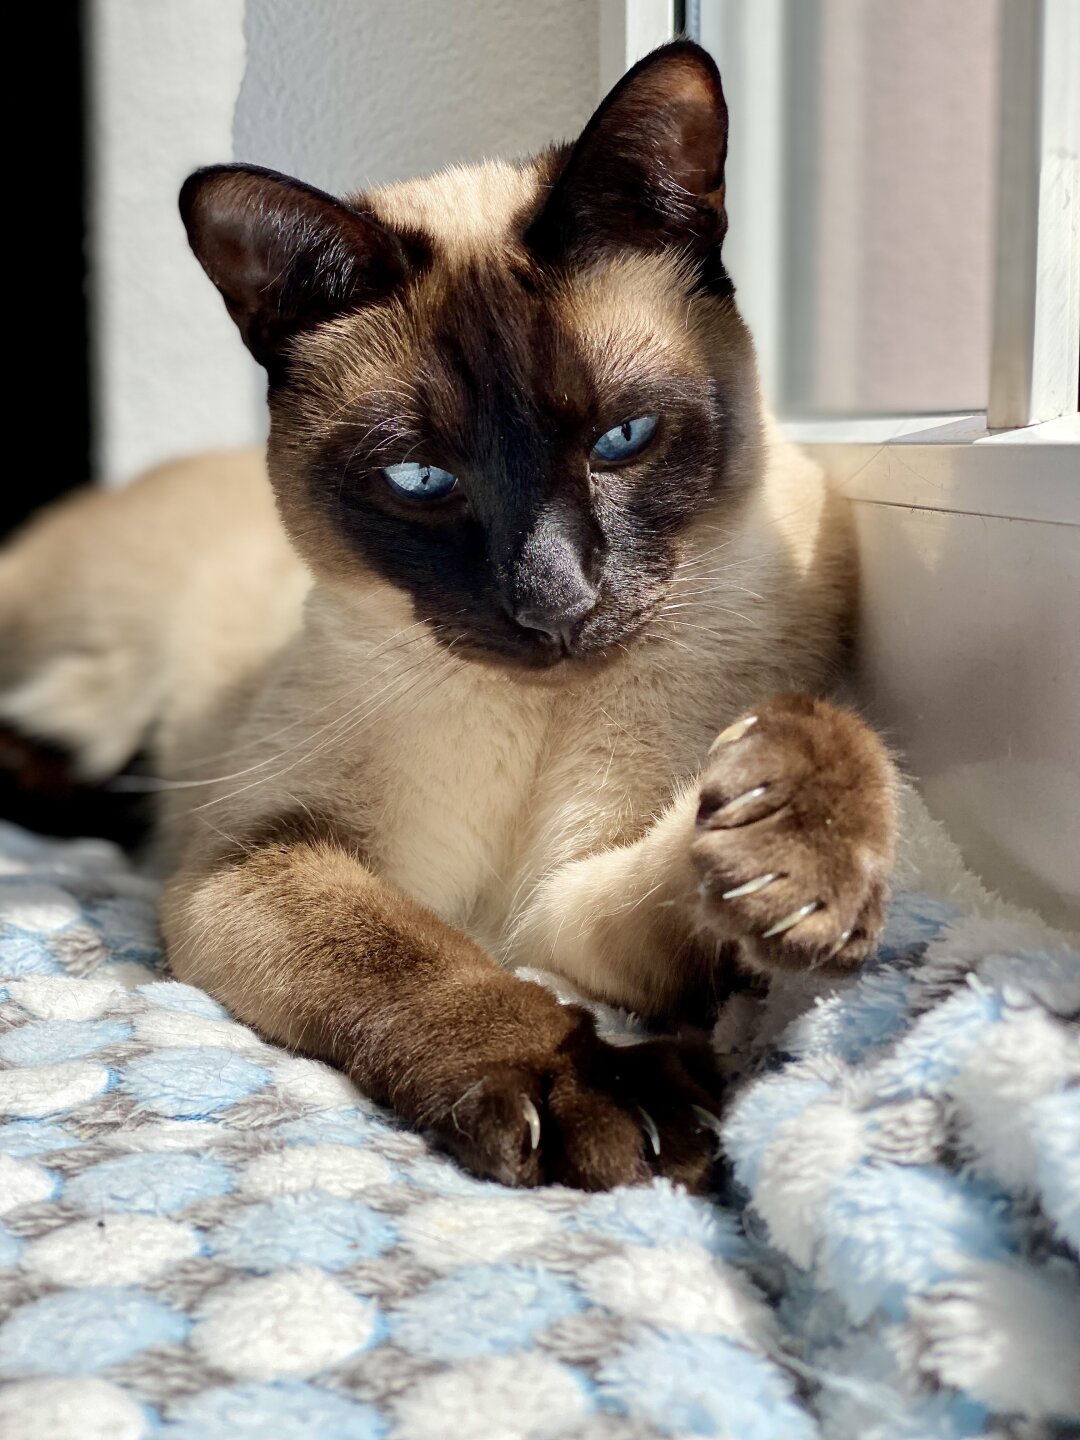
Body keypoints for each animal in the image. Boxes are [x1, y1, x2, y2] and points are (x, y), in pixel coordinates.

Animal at [0, 45, 898, 1192]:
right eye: (422, 479)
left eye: (623, 438)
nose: (555, 603)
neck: (536, 716)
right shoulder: (265, 858)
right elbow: (425, 963)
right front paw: (591, 1096)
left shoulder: (567, 907)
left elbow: (700, 872)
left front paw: (802, 841)